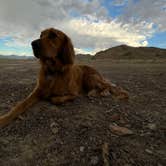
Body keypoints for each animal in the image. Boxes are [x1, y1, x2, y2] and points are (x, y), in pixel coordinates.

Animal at [0, 28, 128, 127]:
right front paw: (4, 118)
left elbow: (56, 99)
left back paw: (102, 92)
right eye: (41, 35)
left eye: (53, 35)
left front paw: (52, 97)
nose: (33, 43)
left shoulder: (74, 93)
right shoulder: (37, 90)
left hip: (89, 77)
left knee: (107, 85)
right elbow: (20, 105)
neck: (53, 71)